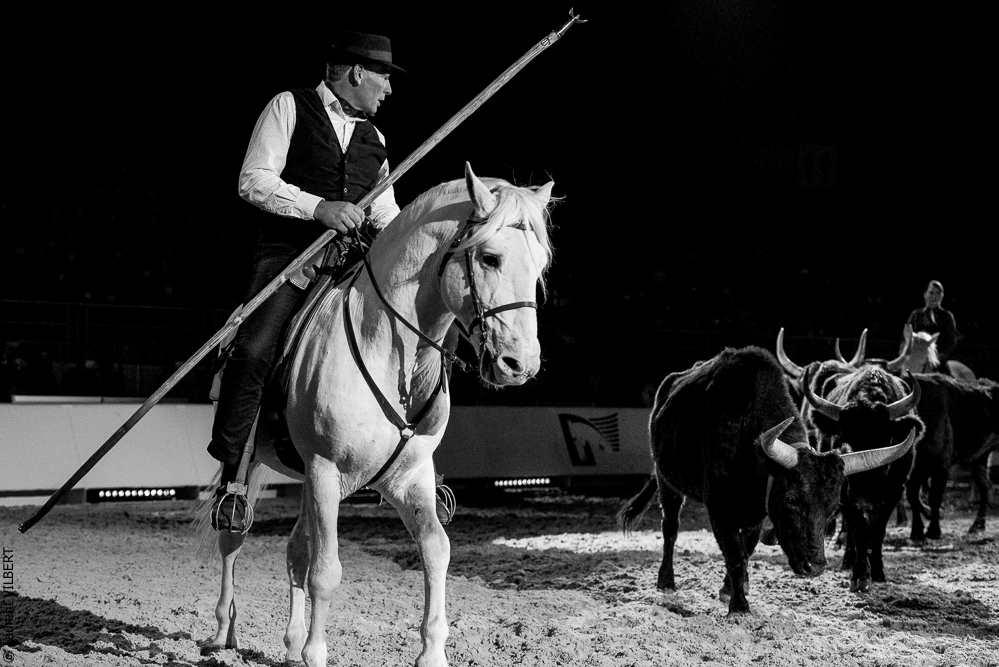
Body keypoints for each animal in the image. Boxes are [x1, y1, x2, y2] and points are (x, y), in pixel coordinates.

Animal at [196, 163, 555, 667]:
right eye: (489, 258)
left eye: (539, 266)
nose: (520, 365)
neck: (385, 345)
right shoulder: (326, 472)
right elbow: (326, 570)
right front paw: (317, 653)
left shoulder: (407, 478)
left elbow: (436, 549)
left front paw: (432, 652)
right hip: (252, 463)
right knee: (233, 536)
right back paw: (223, 631)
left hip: (306, 478)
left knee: (296, 549)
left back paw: (290, 643)